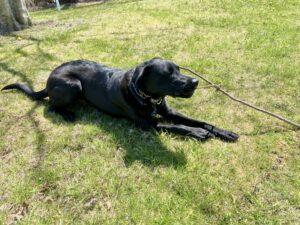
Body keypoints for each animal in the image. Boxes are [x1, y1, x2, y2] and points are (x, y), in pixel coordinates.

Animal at [1, 58, 238, 142]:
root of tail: (49, 77)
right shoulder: (147, 124)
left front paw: (224, 132)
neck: (148, 97)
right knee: (51, 105)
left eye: (179, 69)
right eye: (167, 74)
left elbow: (199, 121)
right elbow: (178, 127)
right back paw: (67, 113)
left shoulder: (168, 112)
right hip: (73, 85)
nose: (195, 82)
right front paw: (197, 133)